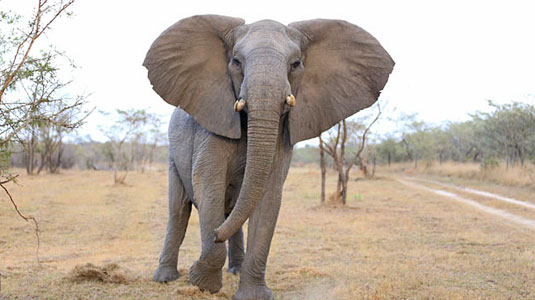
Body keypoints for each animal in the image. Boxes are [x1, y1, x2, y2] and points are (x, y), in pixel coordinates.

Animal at [144, 14, 396, 300]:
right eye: (236, 61)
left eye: (296, 64)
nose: (217, 234)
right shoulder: (211, 127)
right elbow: (208, 186)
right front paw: (202, 283)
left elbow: (268, 196)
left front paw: (251, 295)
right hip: (173, 155)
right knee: (179, 210)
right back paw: (165, 278)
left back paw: (235, 270)